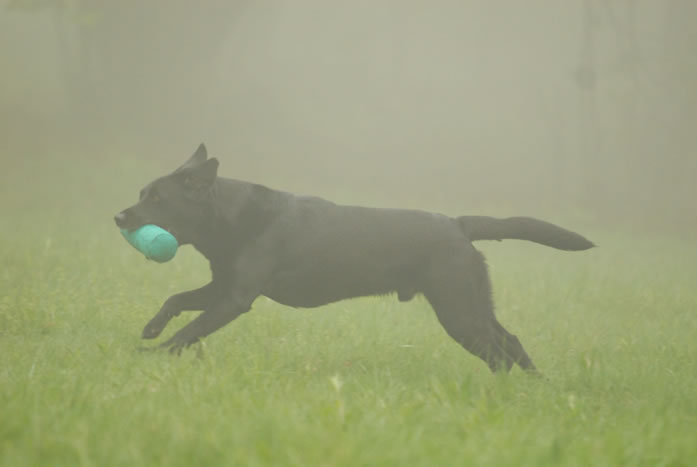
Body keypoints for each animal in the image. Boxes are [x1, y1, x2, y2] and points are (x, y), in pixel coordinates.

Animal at [114, 144, 594, 372]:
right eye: (141, 193)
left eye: (158, 200)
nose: (118, 216)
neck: (231, 216)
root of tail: (458, 224)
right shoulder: (222, 284)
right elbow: (177, 300)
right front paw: (151, 328)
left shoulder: (235, 297)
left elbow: (190, 331)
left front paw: (151, 356)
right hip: (473, 304)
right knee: (512, 343)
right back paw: (536, 389)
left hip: (459, 312)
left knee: (500, 353)